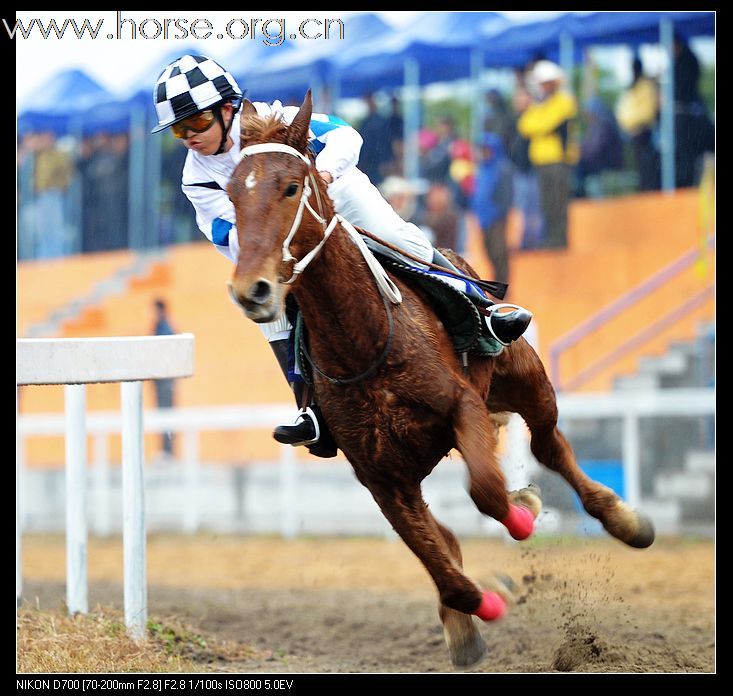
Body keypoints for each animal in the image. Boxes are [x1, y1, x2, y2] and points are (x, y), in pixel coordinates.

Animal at [224, 89, 652, 668]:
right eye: (230, 195)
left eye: (291, 187)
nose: (253, 289)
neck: (366, 343)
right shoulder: (380, 475)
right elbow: (440, 560)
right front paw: (476, 613)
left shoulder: (463, 407)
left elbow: (487, 493)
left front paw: (522, 511)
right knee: (450, 528)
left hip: (526, 379)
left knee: (549, 445)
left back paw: (624, 520)